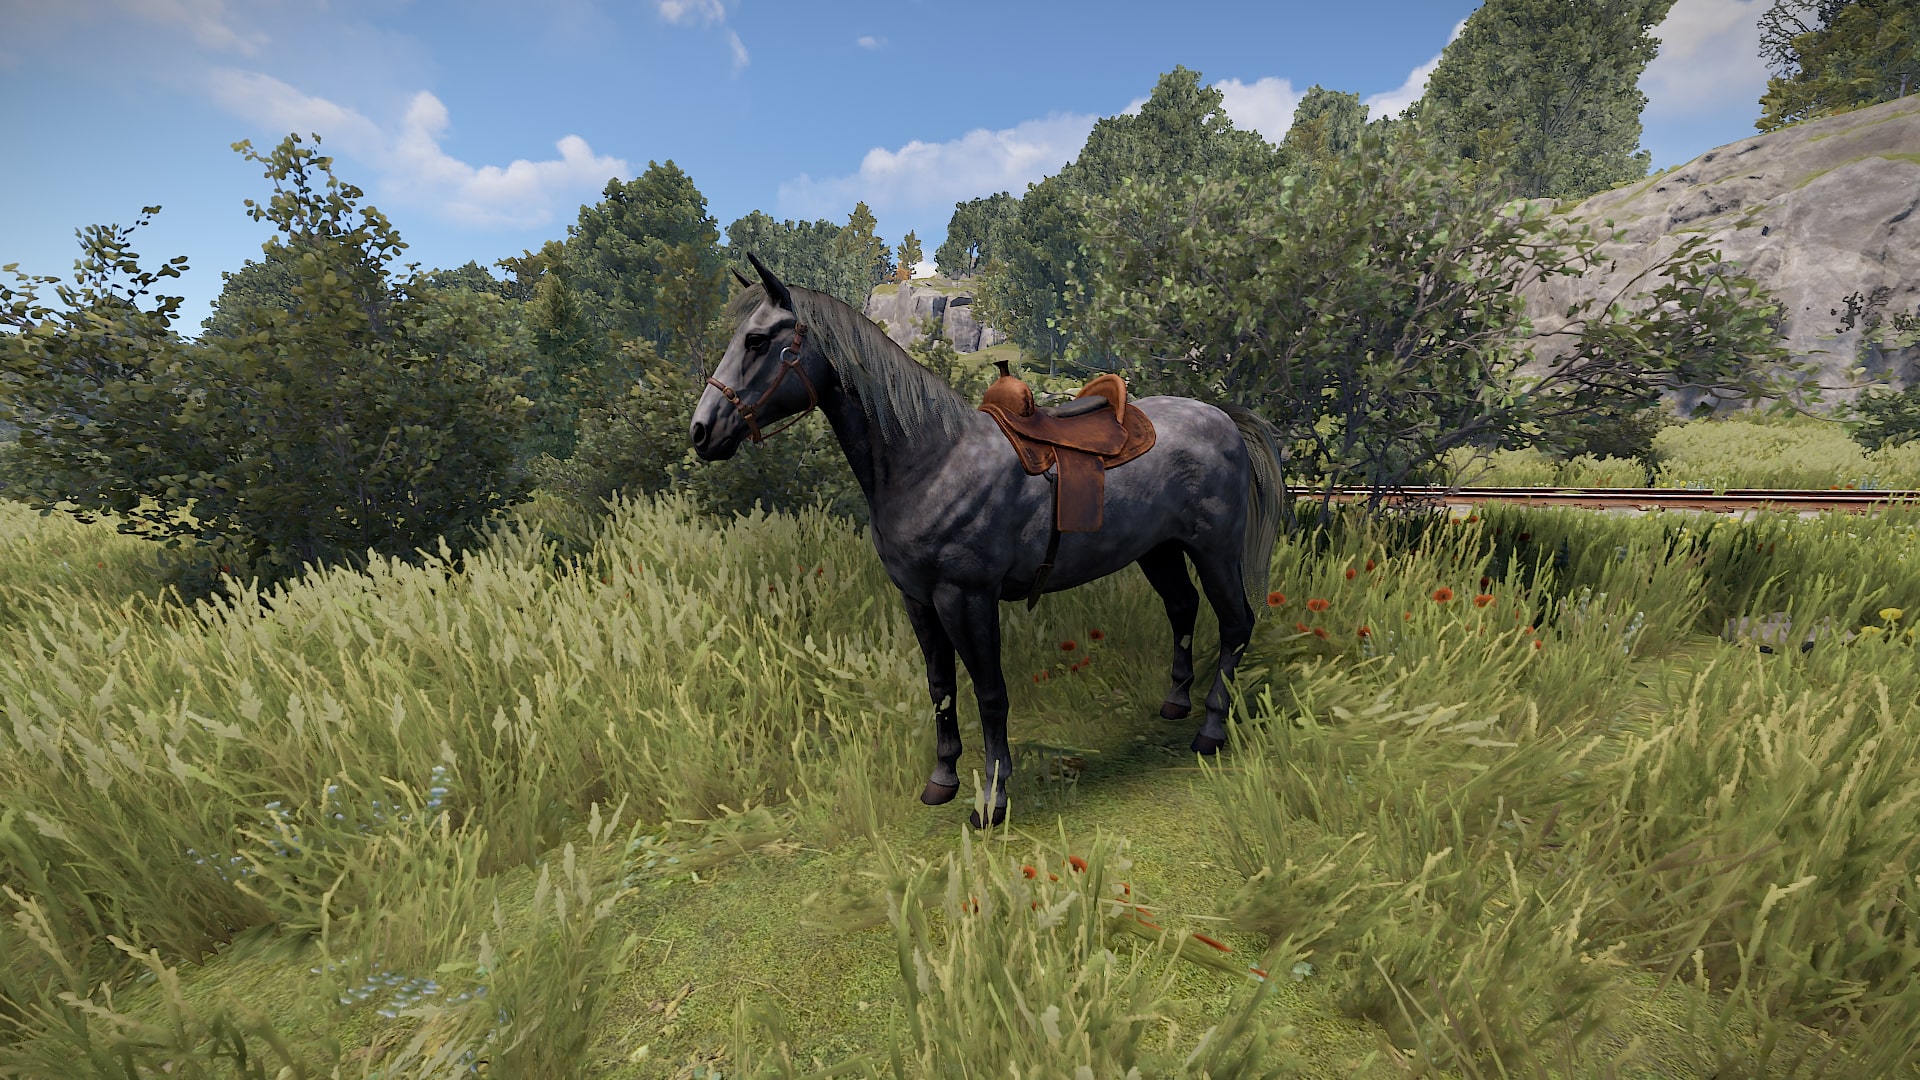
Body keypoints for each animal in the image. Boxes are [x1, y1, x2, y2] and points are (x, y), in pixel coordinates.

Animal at [691, 254, 1285, 827]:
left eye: (757, 341)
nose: (701, 432)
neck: (932, 461)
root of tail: (1222, 417)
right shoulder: (918, 601)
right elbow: (940, 687)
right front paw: (942, 780)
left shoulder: (967, 599)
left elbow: (990, 691)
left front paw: (993, 799)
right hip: (1158, 551)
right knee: (1183, 608)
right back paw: (1175, 702)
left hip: (1215, 550)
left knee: (1235, 623)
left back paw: (1211, 729)